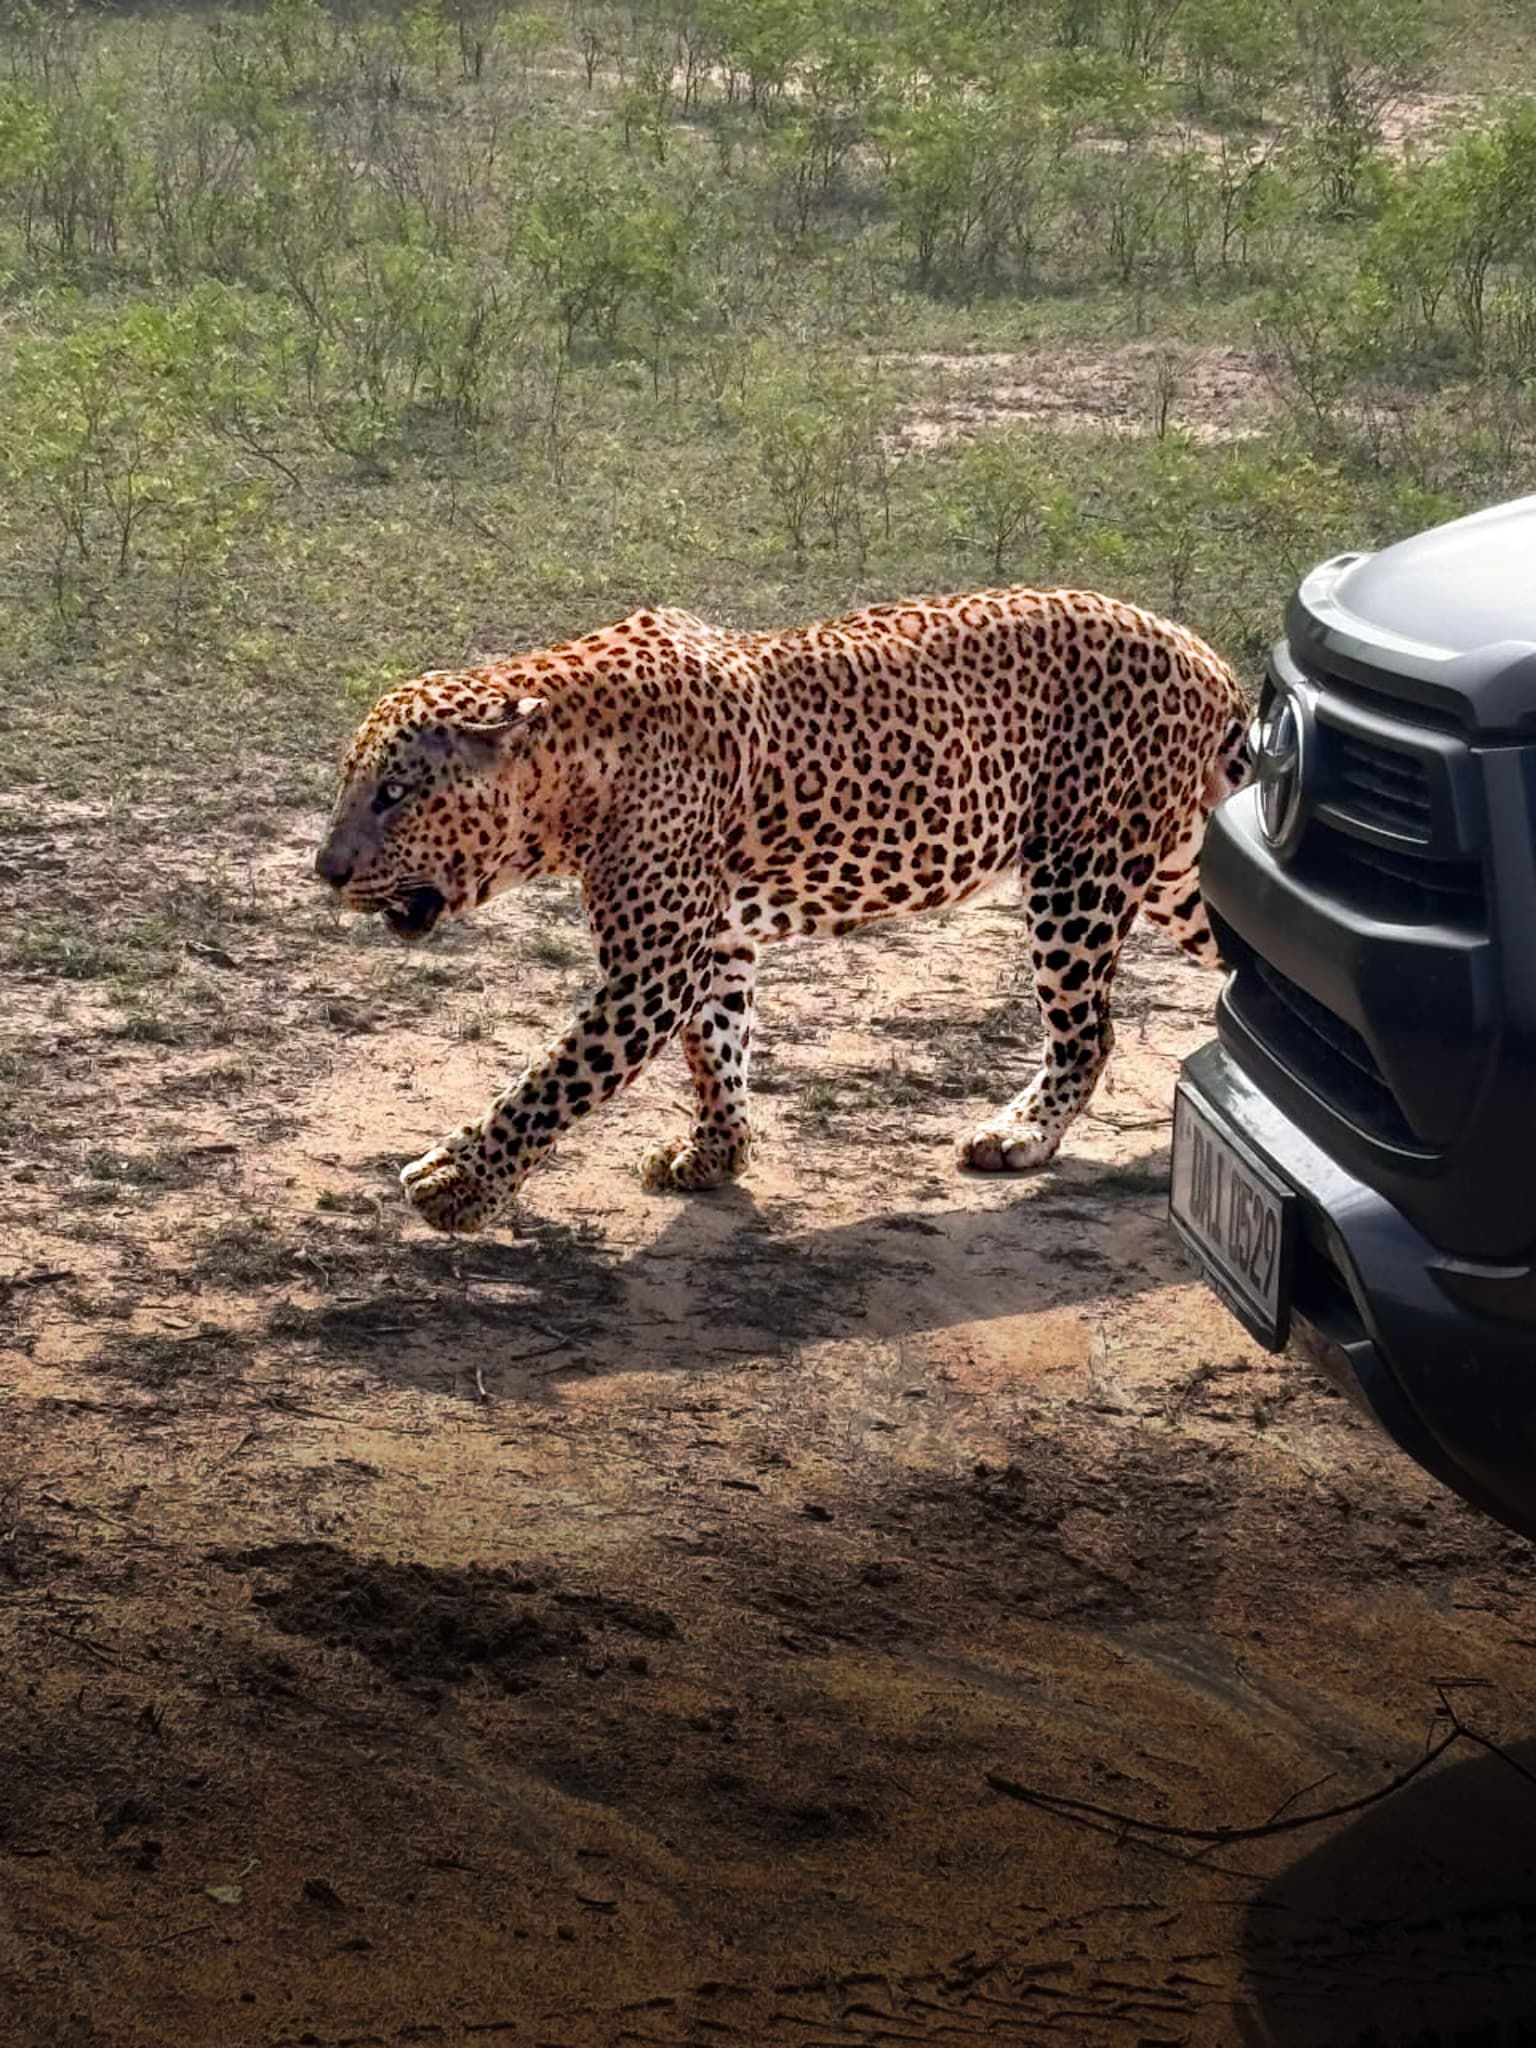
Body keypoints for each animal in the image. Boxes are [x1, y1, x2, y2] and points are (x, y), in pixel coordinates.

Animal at [315, 587, 1250, 1235]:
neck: (572, 770)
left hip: (1080, 876)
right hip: (1172, 872)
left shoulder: (651, 967)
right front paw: (715, 1154)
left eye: (394, 794)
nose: (324, 871)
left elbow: (551, 1080)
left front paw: (456, 1186)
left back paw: (1018, 1135)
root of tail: (1208, 658)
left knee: (1089, 1031)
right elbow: (717, 1050)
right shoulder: (715, 944)